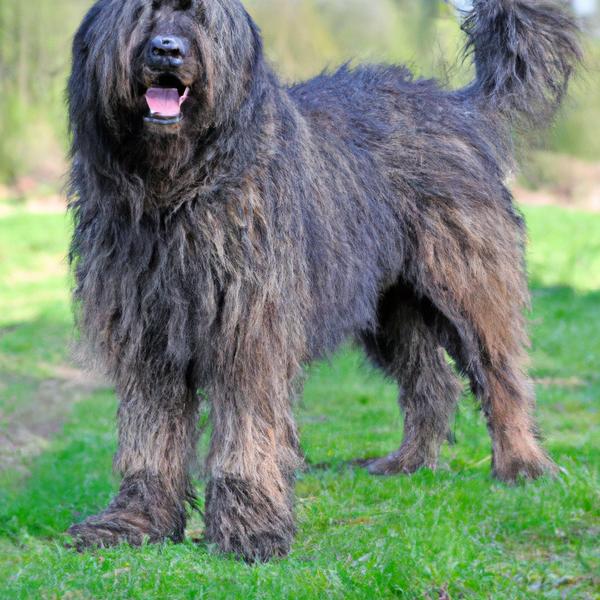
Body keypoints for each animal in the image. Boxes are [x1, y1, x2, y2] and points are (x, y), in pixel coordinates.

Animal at [67, 1, 580, 564]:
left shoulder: (251, 331)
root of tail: (458, 107)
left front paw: (251, 528)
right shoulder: (147, 336)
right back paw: (409, 462)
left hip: (468, 282)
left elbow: (250, 430)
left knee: (500, 372)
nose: (167, 50)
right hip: (391, 308)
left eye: (200, 17)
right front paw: (136, 521)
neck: (177, 193)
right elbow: (150, 433)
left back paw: (522, 464)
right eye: (140, 12)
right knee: (432, 384)